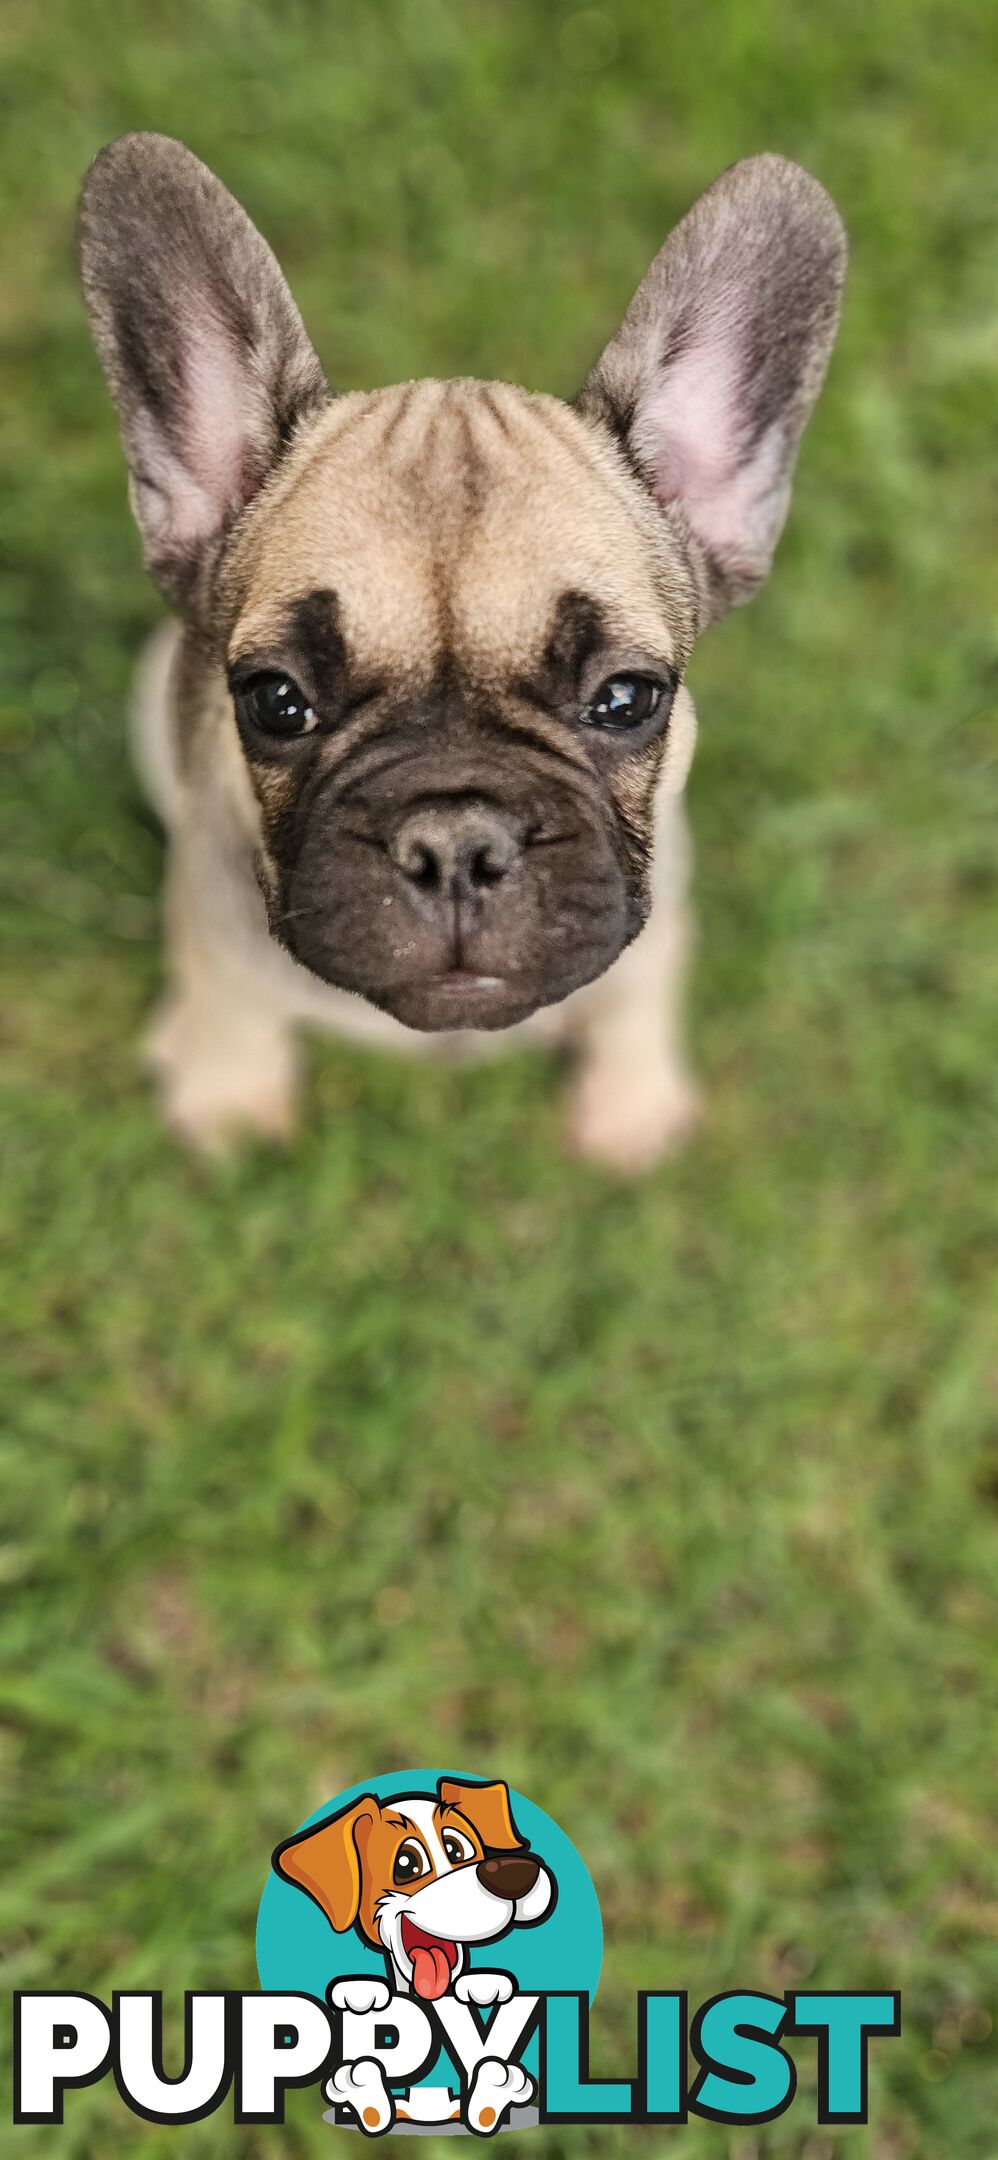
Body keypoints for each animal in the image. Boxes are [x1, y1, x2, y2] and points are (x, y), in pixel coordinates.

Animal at [79, 139, 842, 1166]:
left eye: (626, 699)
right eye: (276, 701)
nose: (453, 843)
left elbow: (640, 991)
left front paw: (630, 1103)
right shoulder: (212, 904)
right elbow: (230, 997)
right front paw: (229, 1095)